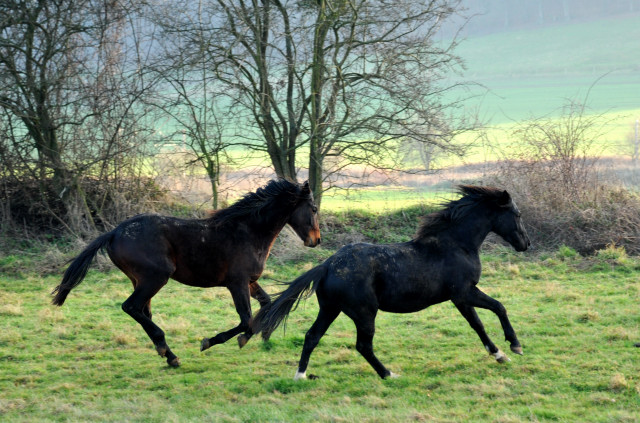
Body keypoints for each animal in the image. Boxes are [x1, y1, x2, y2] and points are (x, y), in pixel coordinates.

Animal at [52, 179, 320, 368]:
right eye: (314, 208)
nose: (316, 240)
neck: (248, 232)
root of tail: (114, 232)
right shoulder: (237, 283)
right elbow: (246, 318)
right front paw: (210, 341)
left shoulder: (250, 282)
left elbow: (265, 304)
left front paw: (250, 336)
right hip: (155, 277)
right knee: (131, 307)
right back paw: (169, 353)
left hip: (140, 280)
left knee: (142, 311)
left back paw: (167, 354)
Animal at [254, 187, 528, 380]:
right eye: (517, 214)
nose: (525, 244)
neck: (457, 244)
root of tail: (328, 264)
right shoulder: (465, 293)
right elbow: (499, 307)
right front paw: (514, 346)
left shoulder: (460, 298)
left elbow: (478, 325)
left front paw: (499, 355)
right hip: (364, 313)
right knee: (363, 345)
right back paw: (389, 374)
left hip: (330, 309)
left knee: (312, 336)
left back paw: (300, 376)